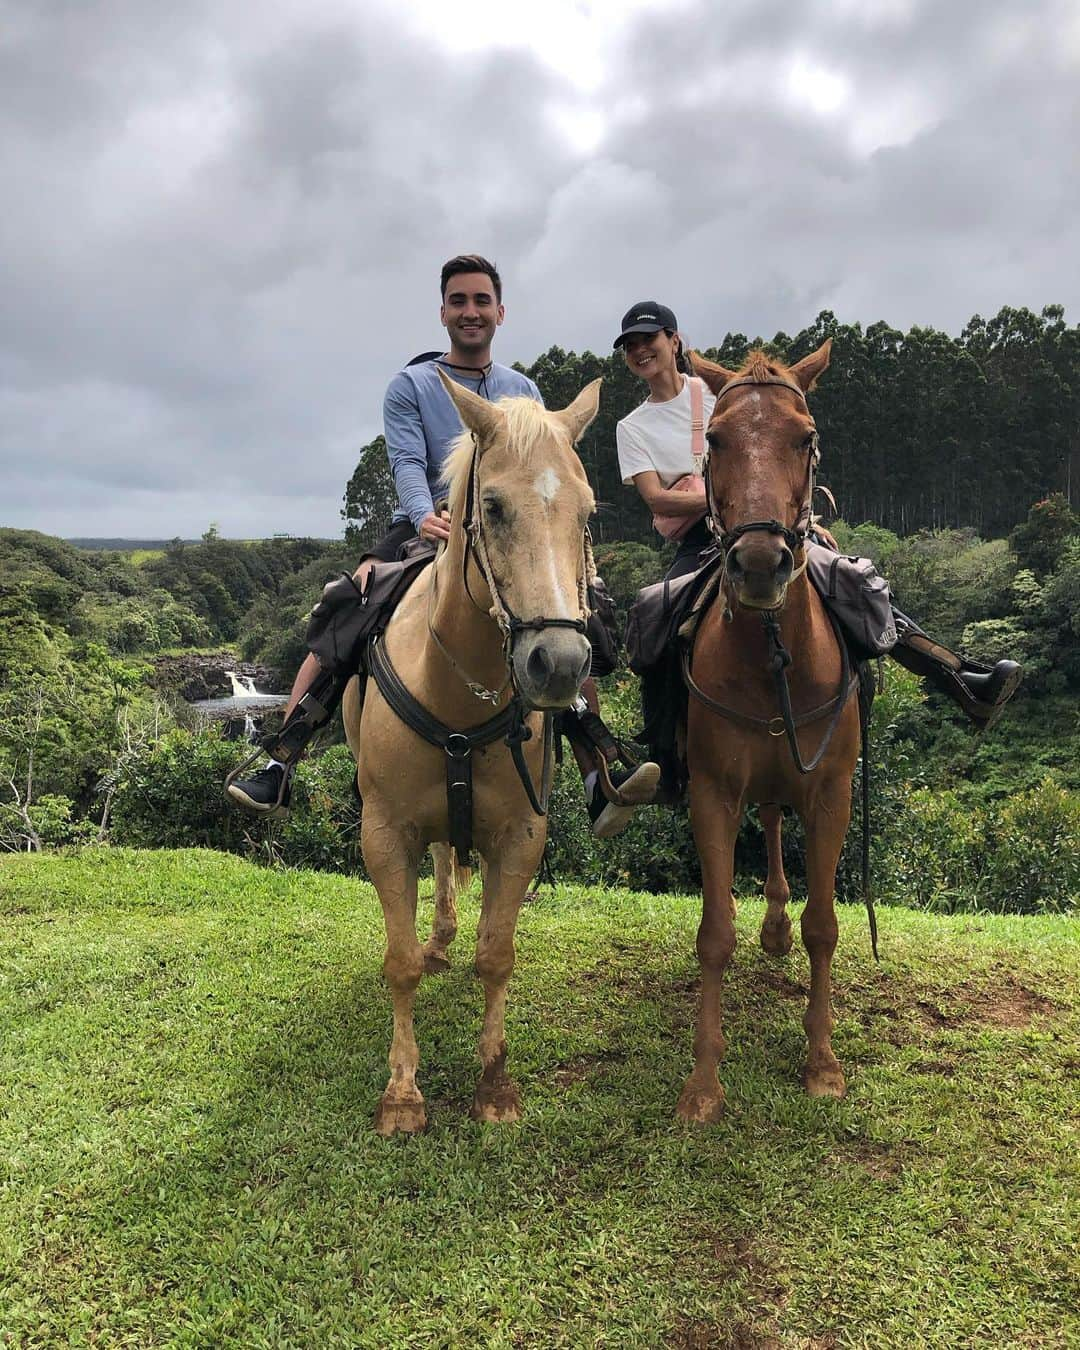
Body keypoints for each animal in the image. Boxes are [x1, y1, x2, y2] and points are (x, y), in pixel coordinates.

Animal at [341, 375, 599, 1134]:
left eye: (588, 515)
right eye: (492, 507)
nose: (559, 663)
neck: (456, 691)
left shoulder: (520, 834)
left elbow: (497, 955)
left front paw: (494, 1081)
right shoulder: (383, 833)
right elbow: (398, 963)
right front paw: (402, 1092)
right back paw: (439, 936)